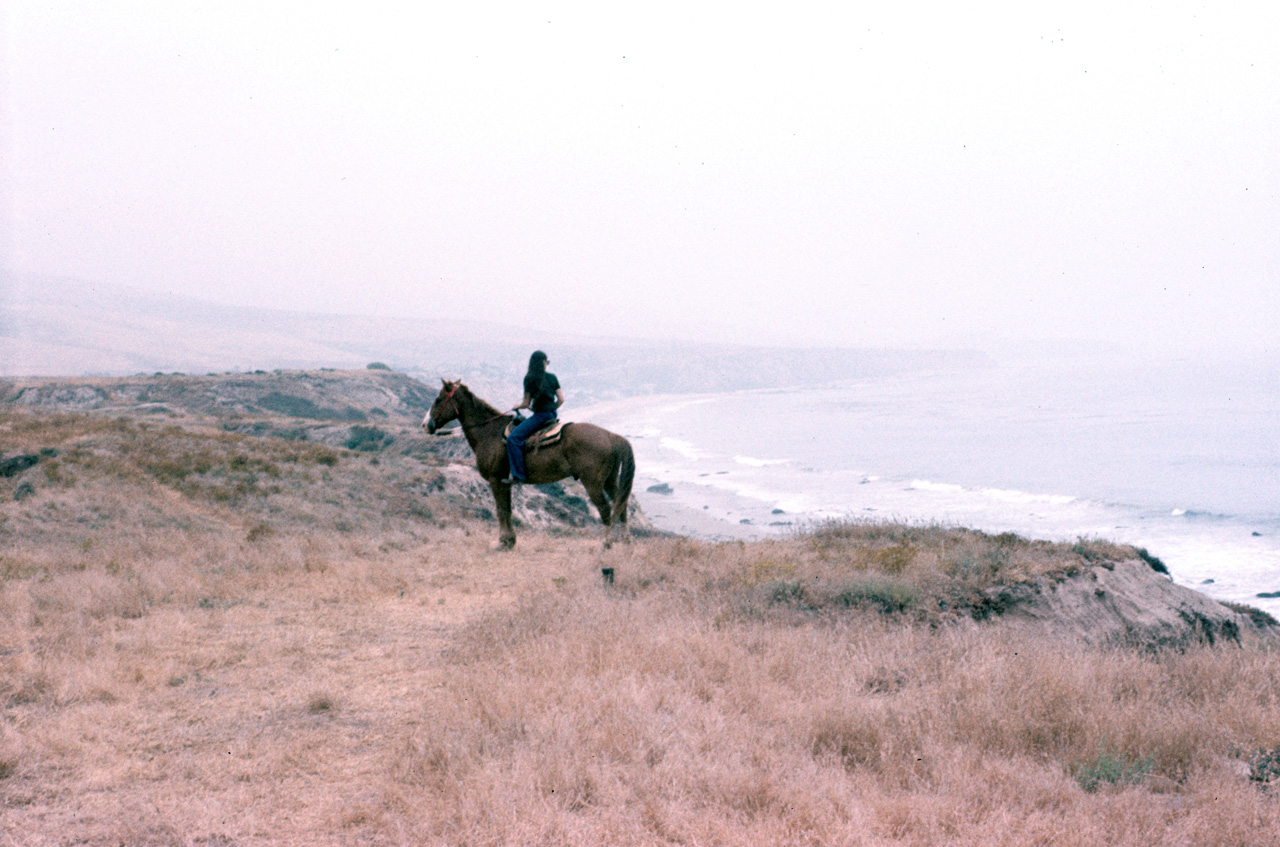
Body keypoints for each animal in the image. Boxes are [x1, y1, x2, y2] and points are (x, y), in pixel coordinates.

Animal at [424, 383, 634, 550]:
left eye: (439, 399)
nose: (426, 425)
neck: (490, 433)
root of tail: (611, 436)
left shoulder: (496, 480)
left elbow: (501, 511)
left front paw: (503, 543)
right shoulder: (505, 482)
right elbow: (507, 510)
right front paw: (510, 541)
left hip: (592, 483)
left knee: (605, 509)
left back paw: (607, 543)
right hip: (609, 481)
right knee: (621, 503)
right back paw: (626, 542)